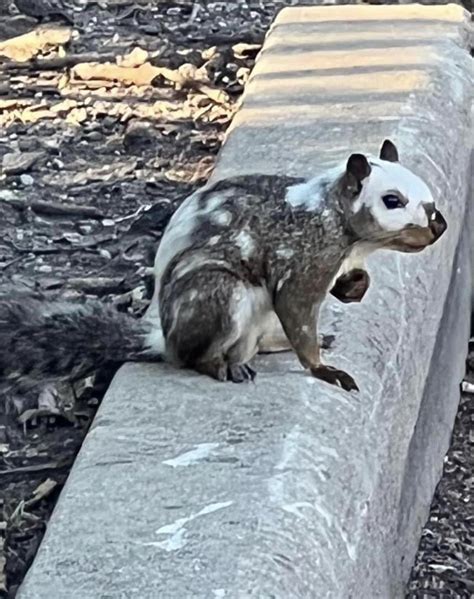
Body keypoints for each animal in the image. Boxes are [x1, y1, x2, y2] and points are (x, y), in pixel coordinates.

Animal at [0, 140, 446, 394]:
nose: (439, 225)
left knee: (258, 343)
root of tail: (163, 339)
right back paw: (220, 366)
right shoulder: (302, 261)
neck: (336, 219)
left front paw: (355, 286)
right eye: (392, 200)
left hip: (251, 324)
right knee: (195, 357)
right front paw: (322, 369)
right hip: (221, 294)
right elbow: (298, 313)